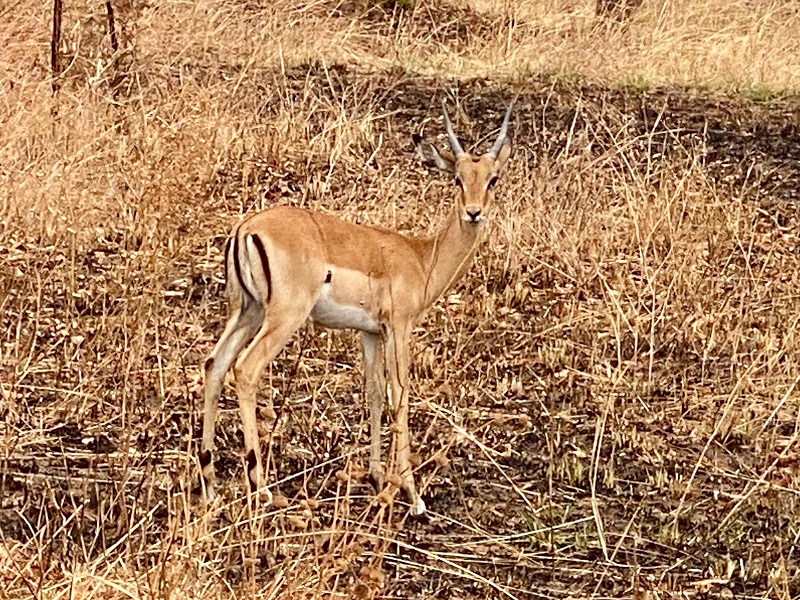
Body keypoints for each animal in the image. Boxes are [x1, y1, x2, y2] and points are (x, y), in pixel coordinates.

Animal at [200, 101, 513, 515]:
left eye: (492, 179)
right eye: (458, 179)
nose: (474, 213)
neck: (421, 258)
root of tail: (246, 228)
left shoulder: (370, 333)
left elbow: (374, 393)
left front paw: (378, 476)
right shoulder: (399, 328)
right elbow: (400, 395)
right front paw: (413, 495)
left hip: (247, 312)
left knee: (214, 365)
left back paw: (209, 484)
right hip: (282, 318)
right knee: (245, 369)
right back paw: (261, 488)